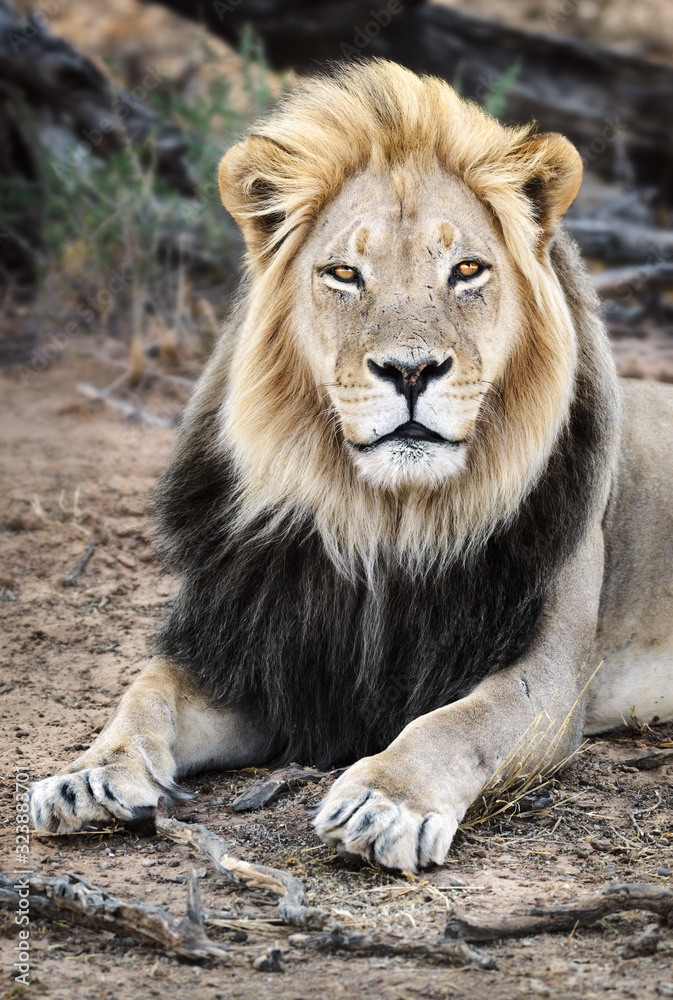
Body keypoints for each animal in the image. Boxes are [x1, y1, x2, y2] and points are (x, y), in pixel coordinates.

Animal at [28, 62, 672, 872]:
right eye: (343, 273)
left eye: (467, 269)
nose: (410, 370)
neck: (381, 518)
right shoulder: (260, 657)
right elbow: (145, 689)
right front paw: (89, 774)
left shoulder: (551, 676)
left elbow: (457, 722)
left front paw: (385, 801)